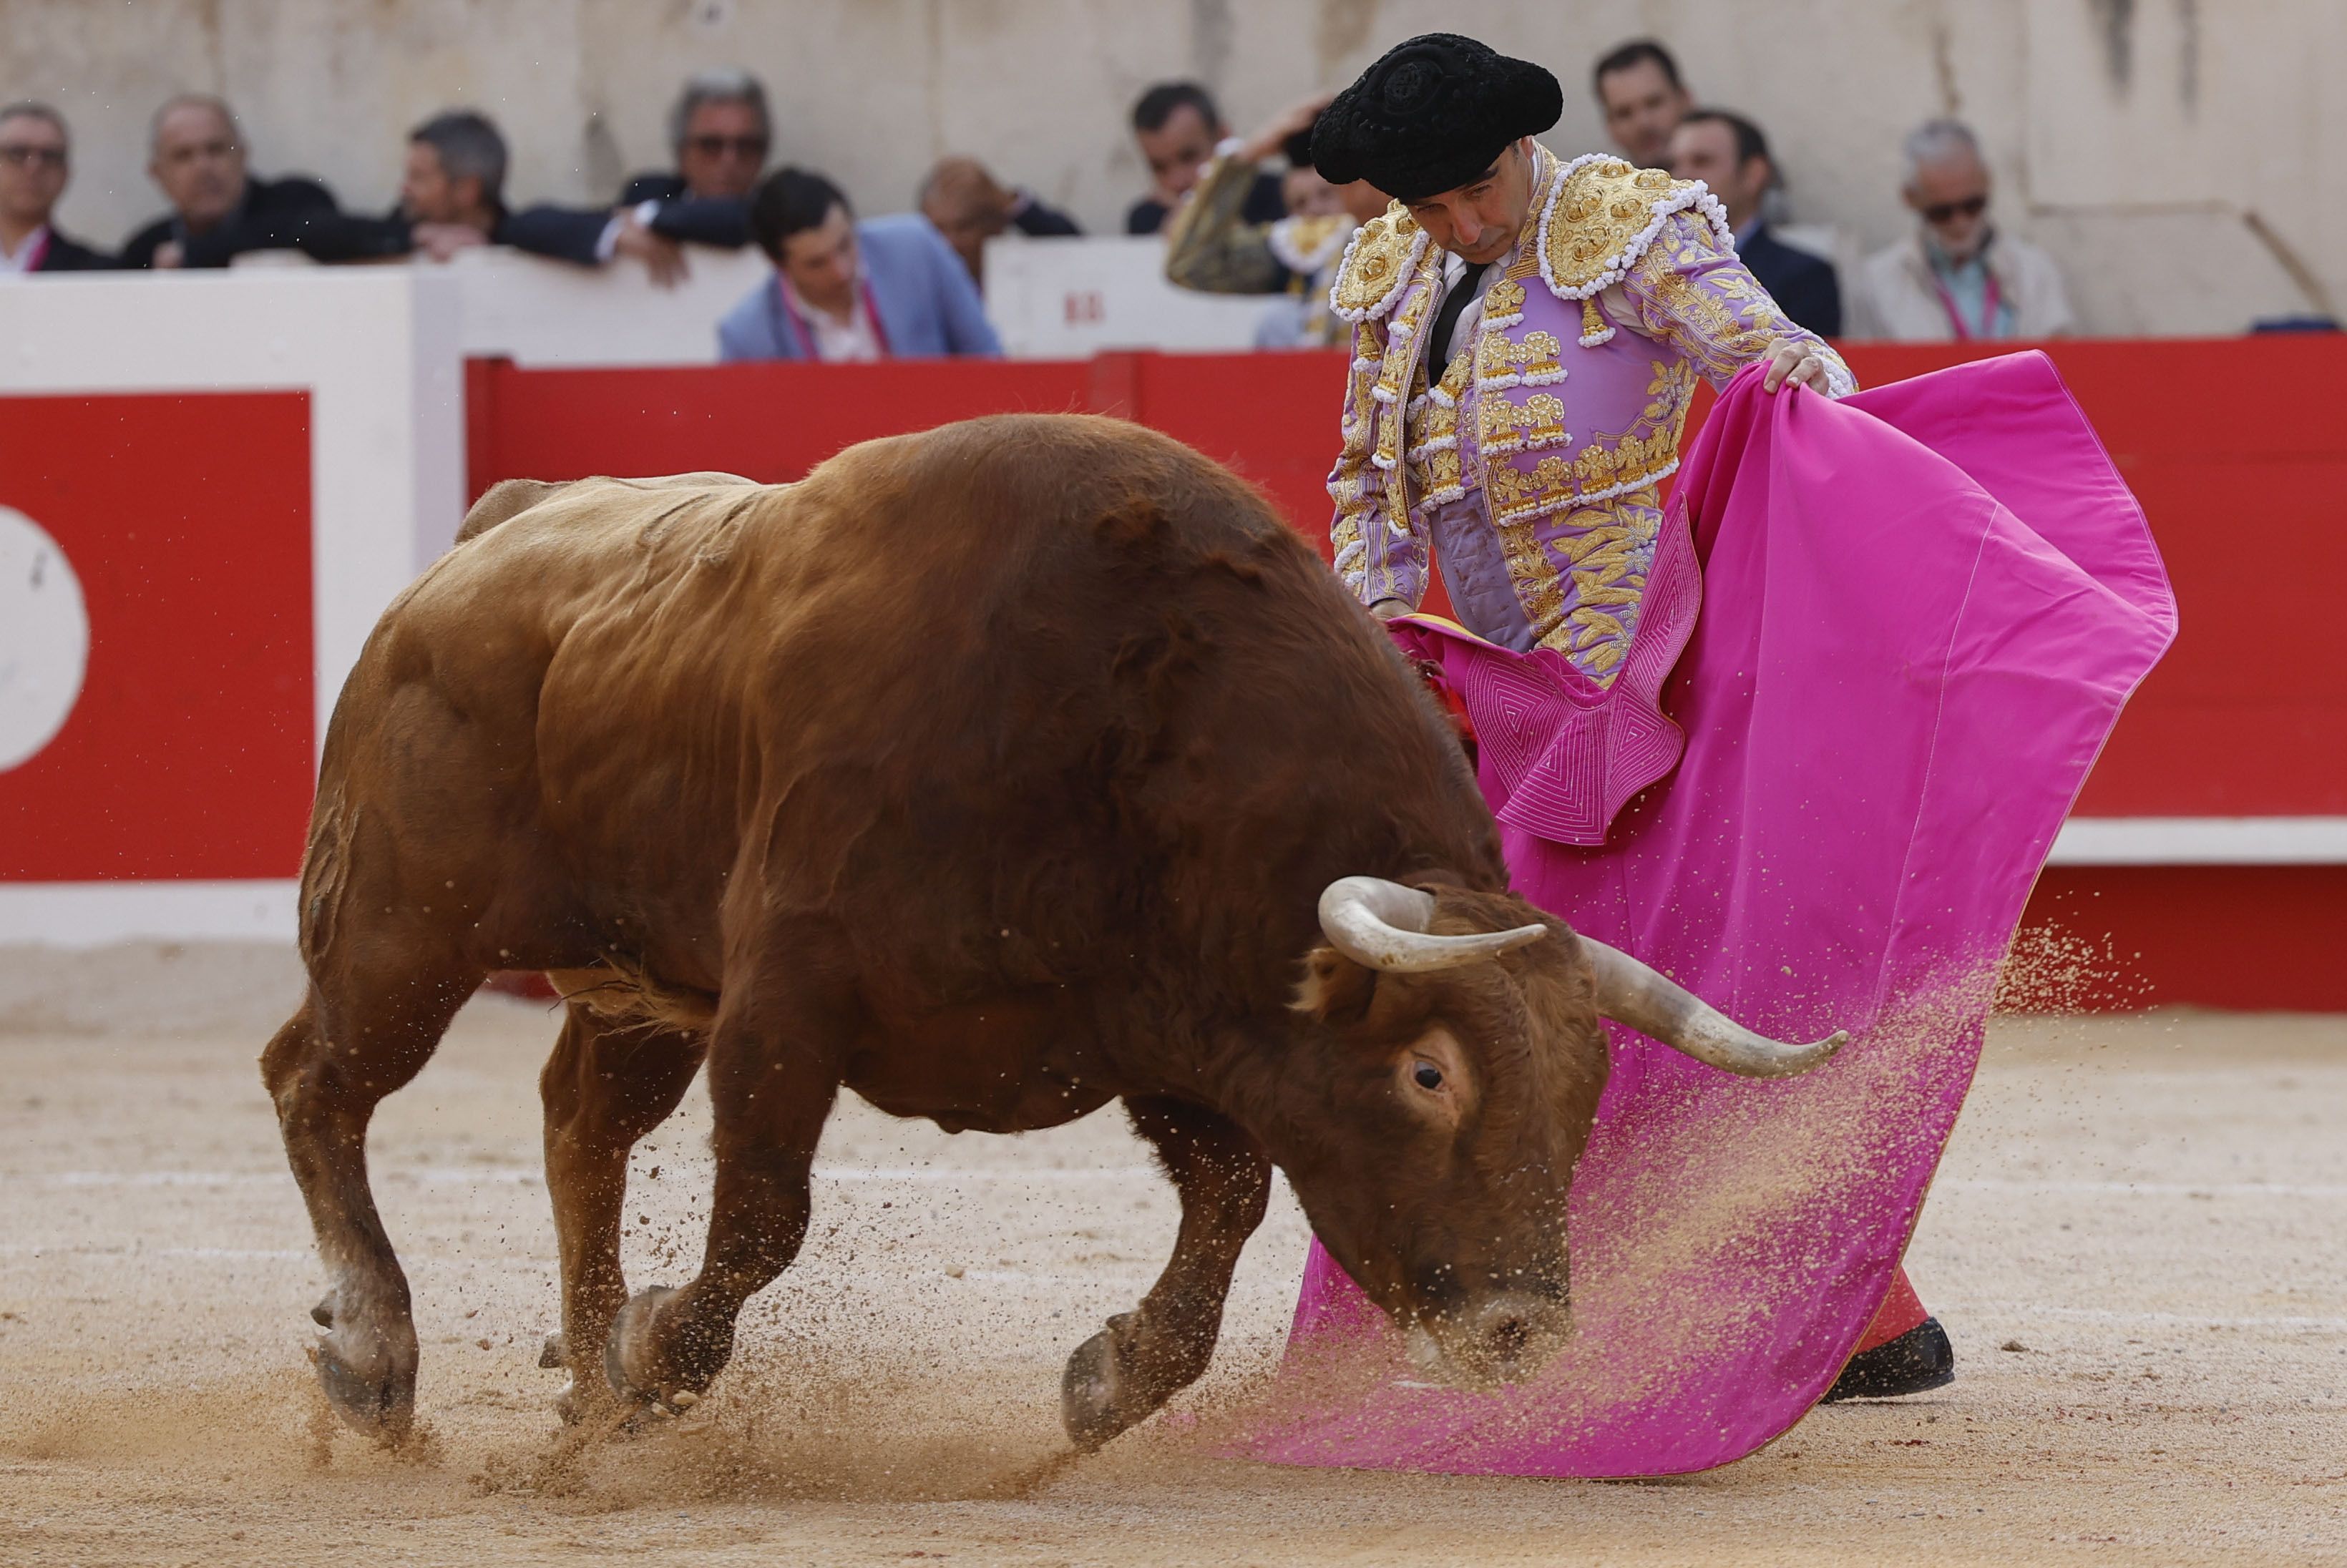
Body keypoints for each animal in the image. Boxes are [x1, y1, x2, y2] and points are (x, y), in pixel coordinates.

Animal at [266, 413, 1840, 1446]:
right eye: (1427, 1071)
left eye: (1587, 1091)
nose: (1522, 1327)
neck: (1115, 720)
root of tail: (496, 530)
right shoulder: (787, 995)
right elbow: (766, 1213)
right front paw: (662, 1349)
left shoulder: (1163, 1023)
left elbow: (1230, 1198)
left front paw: (1108, 1377)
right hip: (406, 924)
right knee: (318, 1077)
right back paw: (384, 1355)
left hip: (633, 981)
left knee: (577, 1127)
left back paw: (586, 1387)